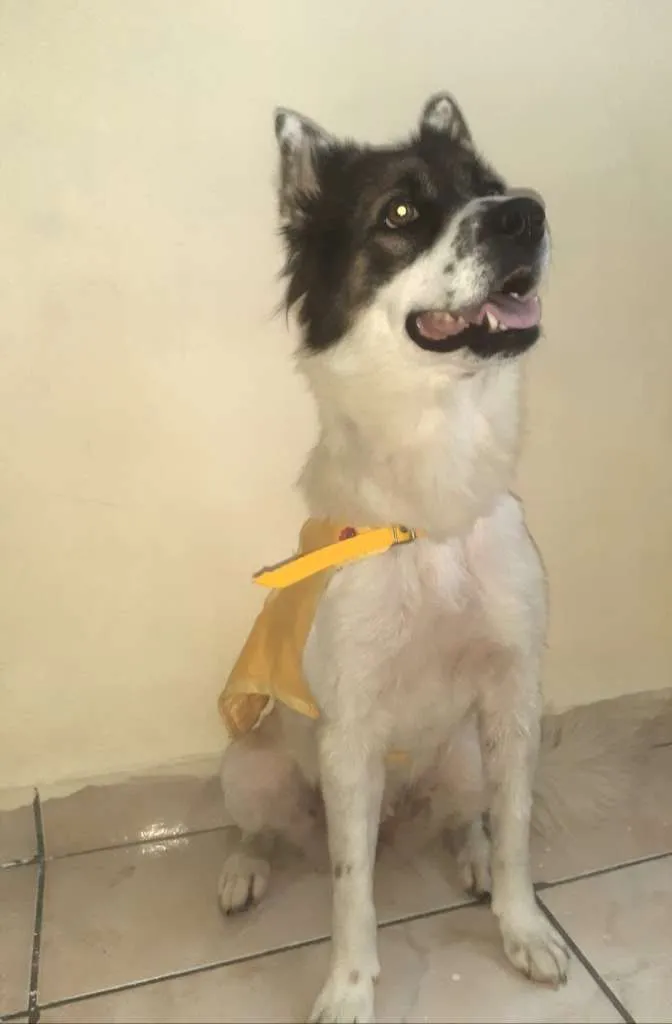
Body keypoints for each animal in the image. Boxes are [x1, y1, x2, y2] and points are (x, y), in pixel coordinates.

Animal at [218, 93, 637, 1023]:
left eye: (487, 185)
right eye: (402, 213)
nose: (525, 215)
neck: (434, 506)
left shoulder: (514, 695)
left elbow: (514, 836)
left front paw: (523, 929)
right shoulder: (349, 733)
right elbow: (351, 891)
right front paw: (347, 989)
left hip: (467, 756)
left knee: (465, 818)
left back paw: (467, 854)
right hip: (250, 762)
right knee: (261, 829)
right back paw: (242, 871)